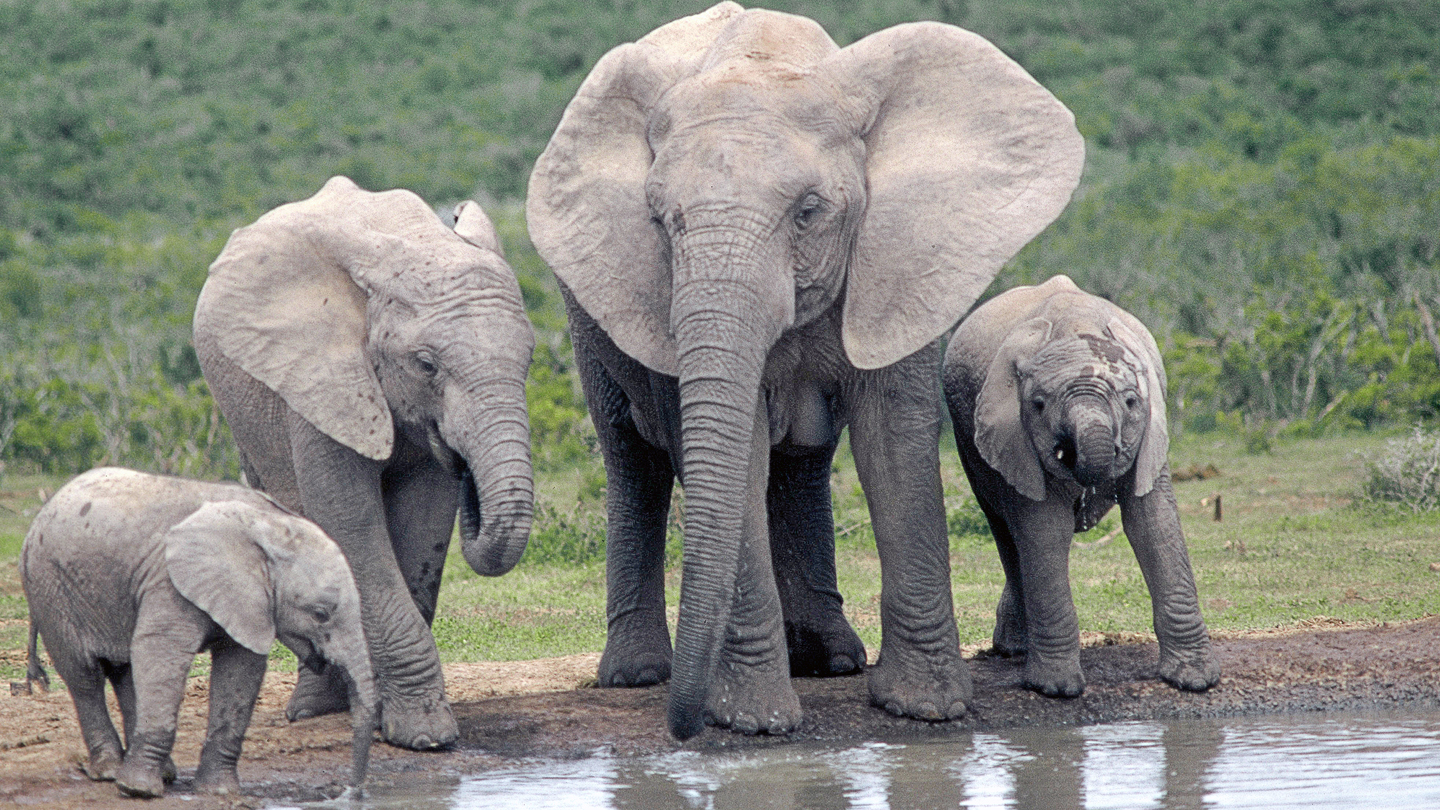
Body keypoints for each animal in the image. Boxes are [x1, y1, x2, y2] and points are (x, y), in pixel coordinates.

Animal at [21, 466, 377, 795]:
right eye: (320, 614)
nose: (352, 791)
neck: (269, 525)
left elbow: (240, 669)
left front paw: (219, 792)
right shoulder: (167, 579)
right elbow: (162, 650)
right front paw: (139, 791)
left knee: (124, 671)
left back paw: (160, 773)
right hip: (51, 588)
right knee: (85, 676)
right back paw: (111, 772)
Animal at [194, 175, 538, 743]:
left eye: (529, 358)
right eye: (426, 365)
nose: (465, 467)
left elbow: (423, 523)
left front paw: (394, 721)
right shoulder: (318, 376)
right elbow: (350, 521)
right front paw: (424, 735)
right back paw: (314, 710)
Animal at [527, 1, 1082, 737]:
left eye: (810, 212)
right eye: (660, 220)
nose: (683, 727)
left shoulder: (900, 260)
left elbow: (891, 442)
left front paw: (926, 710)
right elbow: (731, 455)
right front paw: (756, 723)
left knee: (803, 461)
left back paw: (830, 660)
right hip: (584, 308)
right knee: (633, 462)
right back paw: (639, 675)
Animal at [944, 273, 1215, 697]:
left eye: (1132, 401)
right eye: (1038, 405)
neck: (1075, 327)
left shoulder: (1151, 433)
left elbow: (1151, 523)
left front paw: (1194, 680)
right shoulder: (1016, 437)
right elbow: (1045, 529)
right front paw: (1055, 689)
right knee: (1004, 528)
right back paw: (1013, 649)